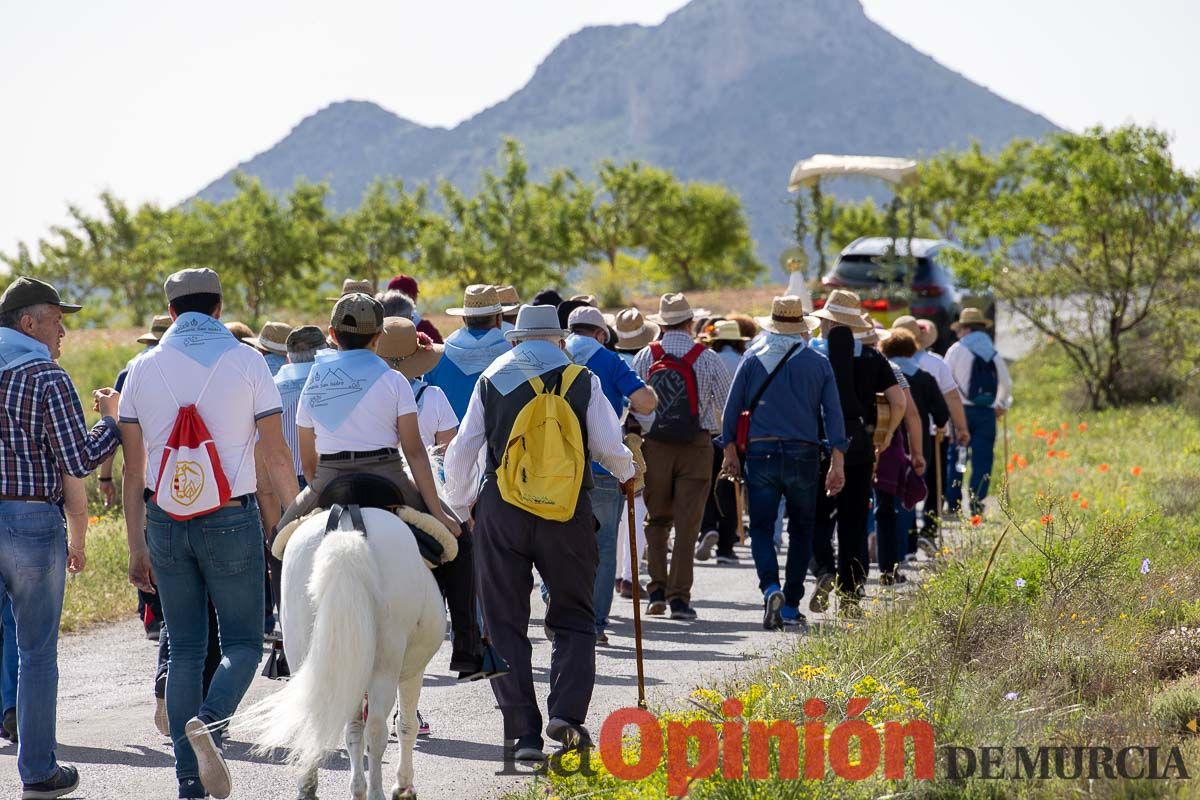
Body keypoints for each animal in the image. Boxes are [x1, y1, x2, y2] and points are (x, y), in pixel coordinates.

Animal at [230, 506, 446, 800]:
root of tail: (345, 535)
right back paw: (375, 792)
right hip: (385, 666)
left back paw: (311, 787)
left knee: (324, 721)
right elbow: (405, 726)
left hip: (304, 655)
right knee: (376, 729)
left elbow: (355, 731)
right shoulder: (413, 671)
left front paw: (359, 788)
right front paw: (403, 786)